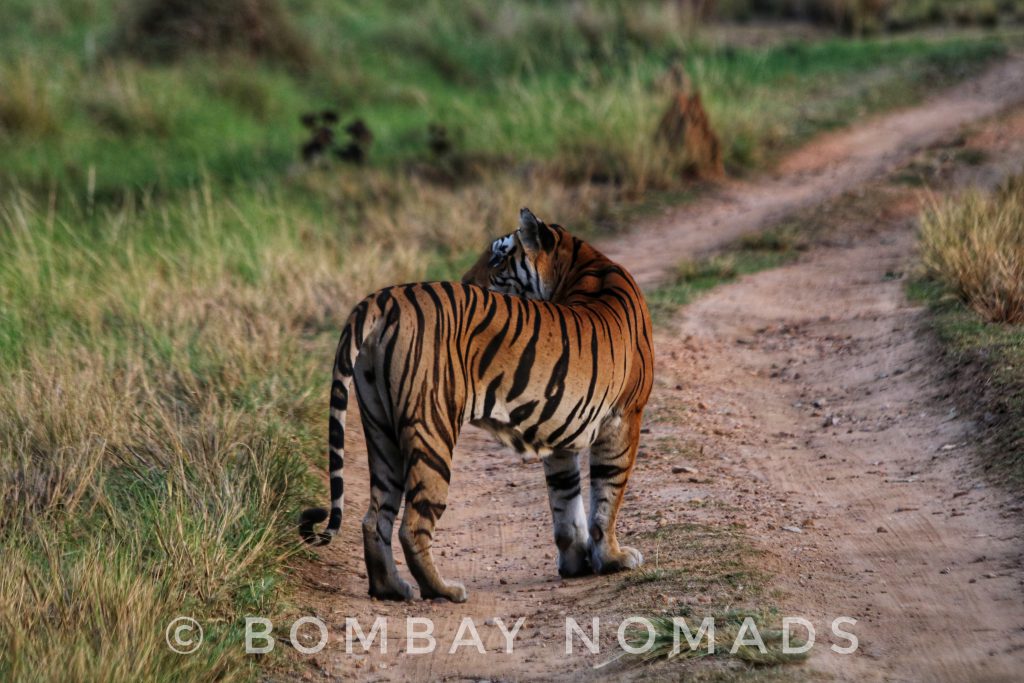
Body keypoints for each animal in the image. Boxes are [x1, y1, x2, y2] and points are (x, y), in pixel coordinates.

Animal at [299, 208, 655, 602]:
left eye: (498, 258)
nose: (466, 280)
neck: (582, 261)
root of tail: (385, 297)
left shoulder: (562, 426)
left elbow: (566, 498)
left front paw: (577, 563)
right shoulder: (625, 416)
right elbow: (607, 494)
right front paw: (614, 558)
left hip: (380, 429)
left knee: (375, 517)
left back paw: (391, 588)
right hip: (432, 428)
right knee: (413, 523)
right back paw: (443, 590)